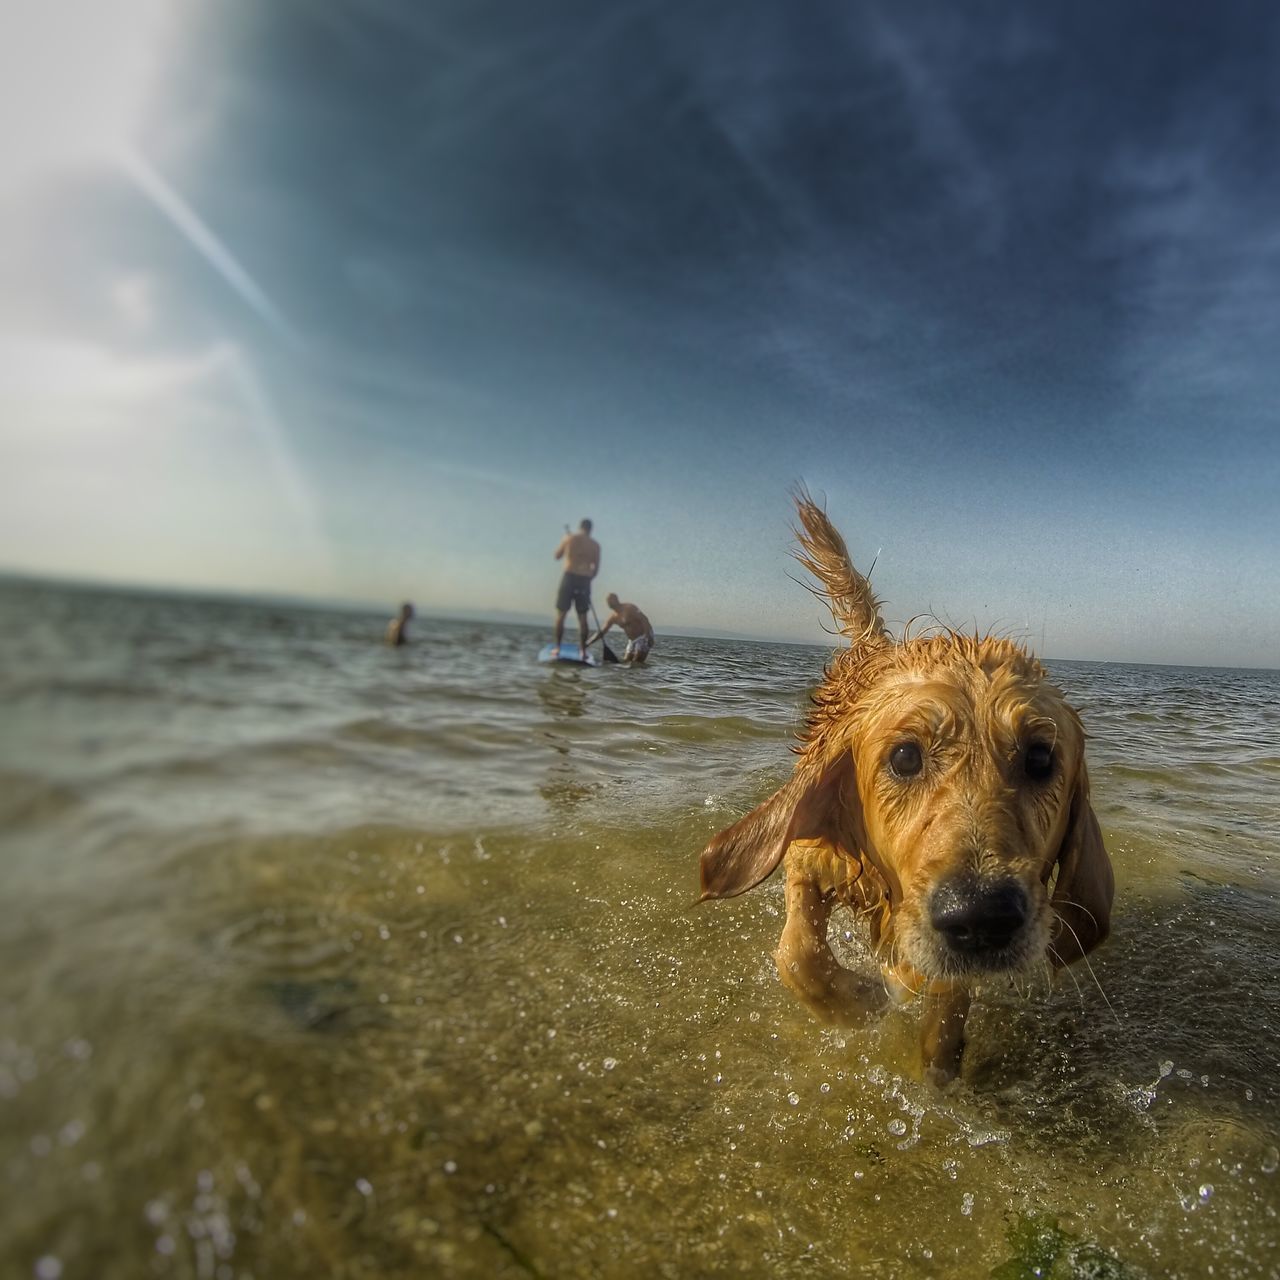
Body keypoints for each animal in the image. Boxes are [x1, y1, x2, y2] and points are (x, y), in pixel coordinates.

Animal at [701, 494, 1111, 1085]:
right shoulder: (810, 854)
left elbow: (943, 1016)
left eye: (1040, 758)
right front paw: (859, 1001)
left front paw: (938, 1075)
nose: (981, 916)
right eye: (905, 757)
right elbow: (797, 955)